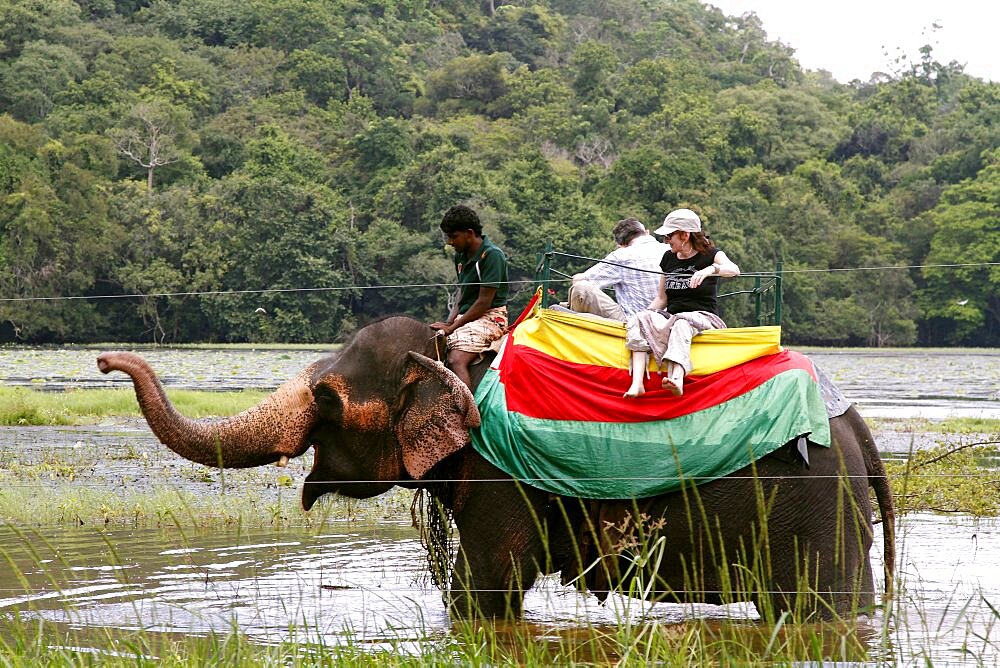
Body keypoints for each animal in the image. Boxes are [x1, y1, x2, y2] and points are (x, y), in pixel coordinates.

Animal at [97, 318, 896, 620]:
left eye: (326, 398)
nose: (104, 360)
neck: (454, 353)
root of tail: (855, 423)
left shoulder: (496, 475)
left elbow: (487, 586)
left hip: (818, 509)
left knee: (824, 606)